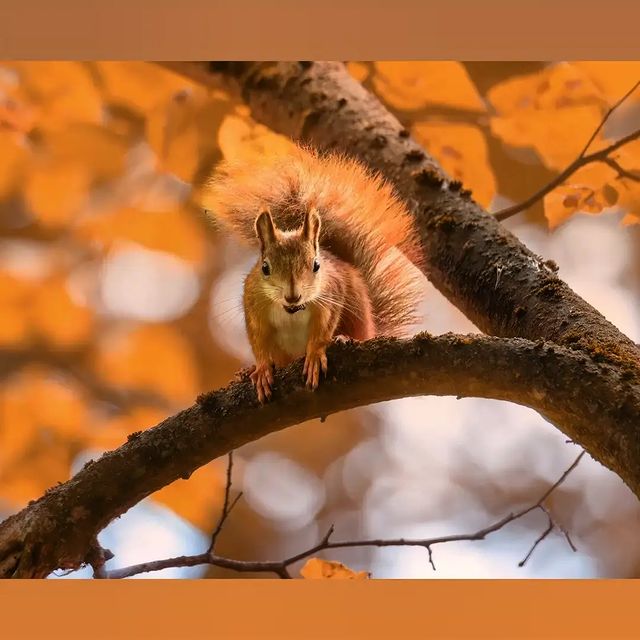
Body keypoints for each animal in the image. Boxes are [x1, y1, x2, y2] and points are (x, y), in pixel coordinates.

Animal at [200, 144, 424, 403]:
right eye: (265, 267)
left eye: (316, 265)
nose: (293, 296)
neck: (292, 310)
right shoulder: (254, 304)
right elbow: (258, 340)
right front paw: (262, 368)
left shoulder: (330, 297)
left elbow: (323, 329)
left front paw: (316, 354)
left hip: (357, 310)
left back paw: (344, 339)